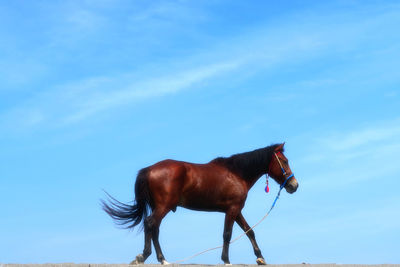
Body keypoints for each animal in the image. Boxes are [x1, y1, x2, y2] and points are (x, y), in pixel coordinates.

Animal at [101, 143, 298, 264]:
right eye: (285, 161)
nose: (294, 185)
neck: (237, 173)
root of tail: (149, 170)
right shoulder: (232, 209)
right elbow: (227, 235)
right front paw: (226, 260)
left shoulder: (237, 210)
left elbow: (250, 231)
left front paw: (260, 258)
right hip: (163, 206)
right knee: (150, 224)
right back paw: (144, 256)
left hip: (160, 207)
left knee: (154, 228)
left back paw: (163, 260)